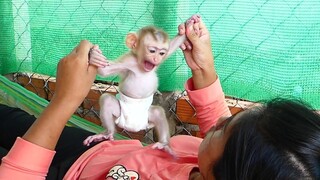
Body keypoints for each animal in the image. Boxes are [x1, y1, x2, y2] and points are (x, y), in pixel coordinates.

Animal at [84, 15, 199, 155]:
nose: (156, 59)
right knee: (107, 100)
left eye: (161, 53)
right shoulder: (128, 61)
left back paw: (163, 143)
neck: (141, 65)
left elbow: (173, 45)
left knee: (158, 112)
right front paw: (94, 56)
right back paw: (108, 133)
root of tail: (134, 127)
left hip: (147, 119)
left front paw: (189, 23)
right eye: (152, 51)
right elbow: (104, 71)